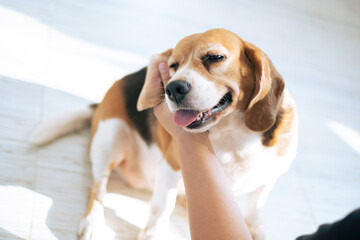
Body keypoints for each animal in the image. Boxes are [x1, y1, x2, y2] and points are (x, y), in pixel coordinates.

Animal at [31, 28, 298, 240]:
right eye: (173, 66)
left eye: (215, 57)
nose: (173, 88)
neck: (232, 134)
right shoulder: (171, 166)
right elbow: (160, 208)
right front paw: (152, 234)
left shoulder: (269, 177)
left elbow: (255, 206)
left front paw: (255, 228)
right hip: (110, 139)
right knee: (98, 188)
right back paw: (92, 222)